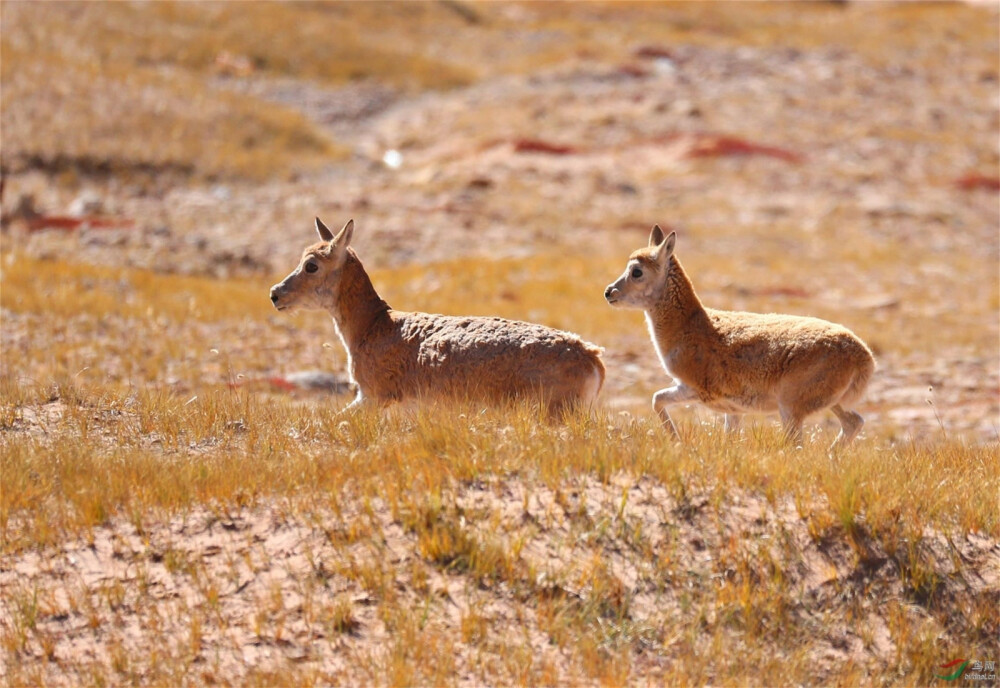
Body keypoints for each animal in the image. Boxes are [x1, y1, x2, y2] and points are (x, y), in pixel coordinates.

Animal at [600, 227, 876, 452]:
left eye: (637, 271)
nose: (609, 292)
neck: (691, 325)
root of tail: (863, 356)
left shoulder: (692, 389)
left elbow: (656, 399)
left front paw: (676, 441)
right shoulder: (732, 411)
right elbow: (729, 438)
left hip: (791, 409)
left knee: (801, 446)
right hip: (831, 403)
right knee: (854, 422)